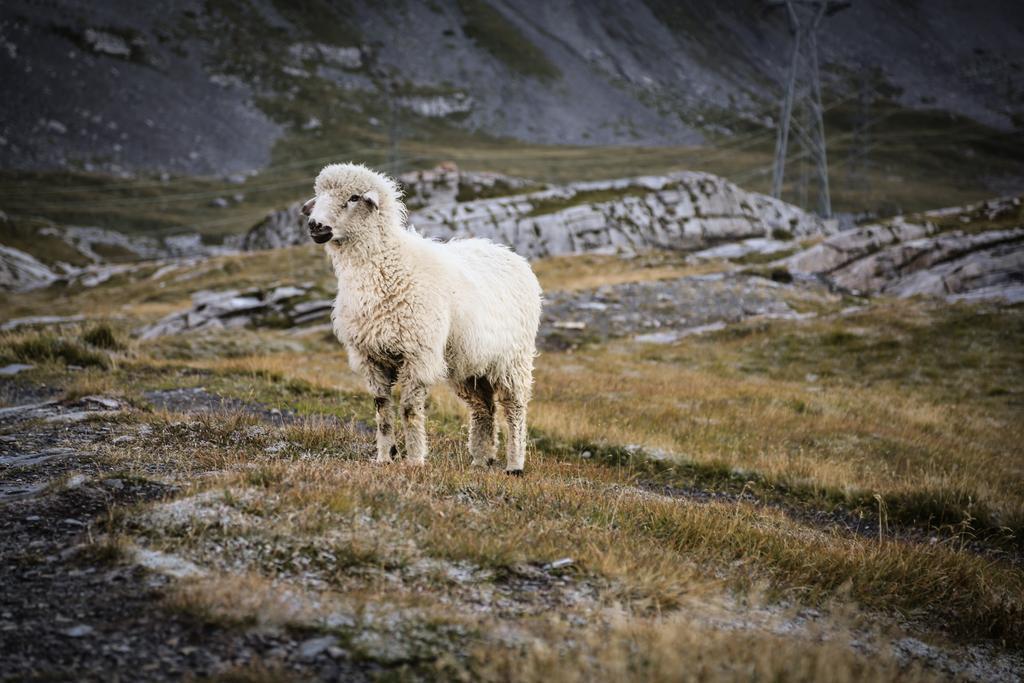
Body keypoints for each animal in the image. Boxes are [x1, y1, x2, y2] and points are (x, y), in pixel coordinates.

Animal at [301, 163, 544, 475]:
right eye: (319, 195)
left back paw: (514, 464)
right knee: (483, 409)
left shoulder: (418, 354)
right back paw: (481, 460)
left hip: (513, 360)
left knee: (515, 410)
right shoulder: (370, 356)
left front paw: (415, 460)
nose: (315, 226)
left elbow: (409, 410)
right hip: (470, 365)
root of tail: (509, 253)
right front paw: (385, 458)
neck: (388, 266)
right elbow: (382, 409)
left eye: (354, 197)